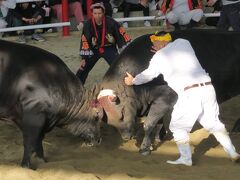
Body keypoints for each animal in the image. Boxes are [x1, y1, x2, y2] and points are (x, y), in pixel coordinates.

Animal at [0, 40, 102, 169]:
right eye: (96, 116)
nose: (99, 140)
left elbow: (38, 142)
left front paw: (42, 160)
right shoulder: (33, 115)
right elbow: (30, 142)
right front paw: (26, 166)